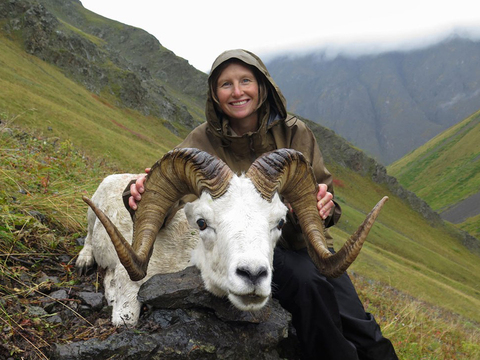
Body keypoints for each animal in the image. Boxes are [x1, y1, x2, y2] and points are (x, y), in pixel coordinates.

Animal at [78, 148, 386, 324]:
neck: (184, 254)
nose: (253, 275)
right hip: (92, 214)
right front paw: (110, 291)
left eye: (280, 222)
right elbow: (127, 319)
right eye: (202, 222)